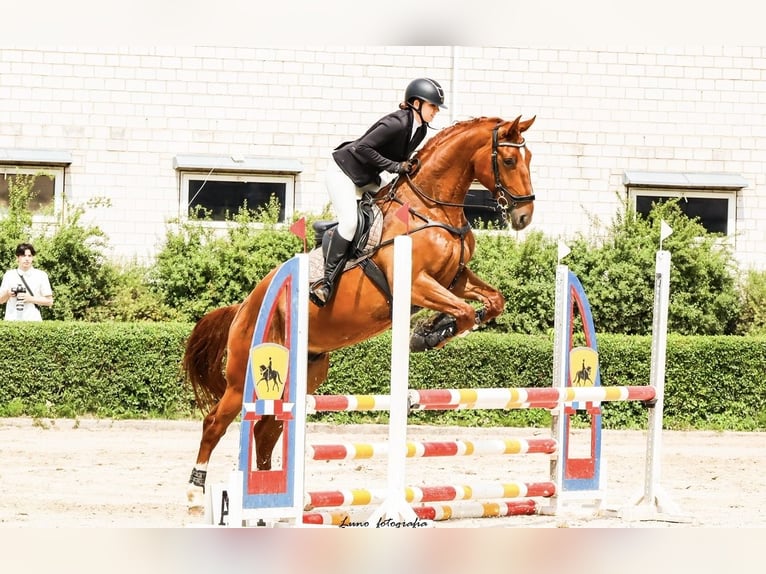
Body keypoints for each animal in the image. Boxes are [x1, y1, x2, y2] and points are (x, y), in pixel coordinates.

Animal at [184, 115, 537, 511]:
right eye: (509, 160)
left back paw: (268, 496)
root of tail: (246, 304)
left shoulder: (455, 279)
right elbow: (462, 312)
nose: (523, 216)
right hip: (242, 377)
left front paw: (434, 330)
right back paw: (196, 491)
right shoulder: (415, 283)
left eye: (529, 158)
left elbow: (490, 302)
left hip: (304, 373)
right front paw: (426, 334)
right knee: (215, 423)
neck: (431, 208)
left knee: (267, 429)